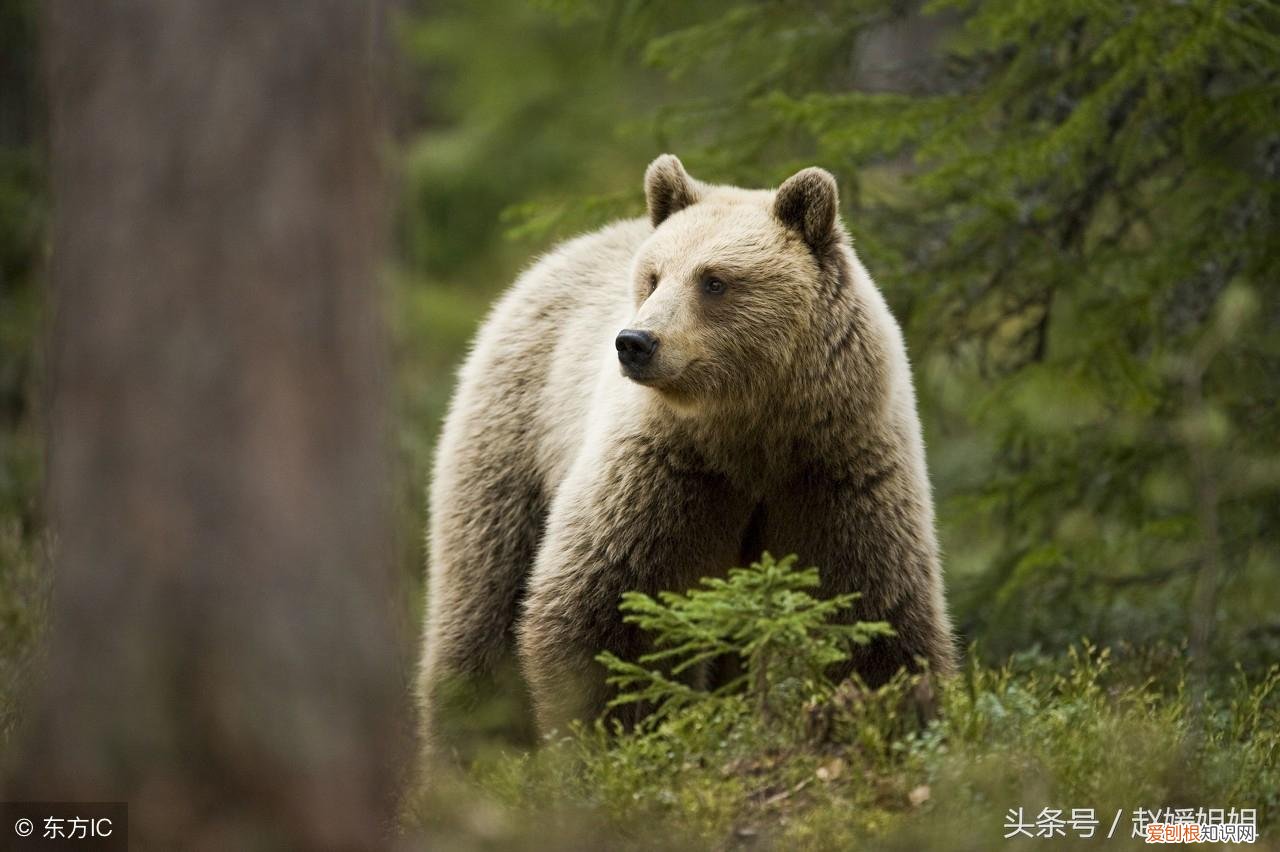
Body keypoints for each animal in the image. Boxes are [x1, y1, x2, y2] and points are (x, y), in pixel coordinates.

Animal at [414, 156, 957, 752]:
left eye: (714, 280)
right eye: (653, 276)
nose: (635, 341)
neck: (752, 433)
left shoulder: (837, 470)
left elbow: (873, 614)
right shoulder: (664, 472)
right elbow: (608, 609)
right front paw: (618, 737)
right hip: (514, 441)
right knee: (481, 603)